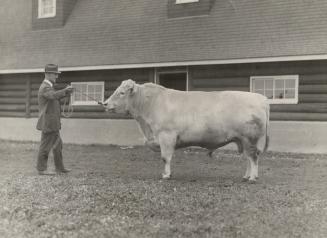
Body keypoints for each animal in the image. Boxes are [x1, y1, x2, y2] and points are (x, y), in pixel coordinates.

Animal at [104, 79, 270, 183]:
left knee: (253, 157)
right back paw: (246, 177)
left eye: (121, 93)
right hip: (242, 139)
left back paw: (252, 178)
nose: (104, 103)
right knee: (248, 158)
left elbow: (165, 157)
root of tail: (261, 98)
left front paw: (166, 175)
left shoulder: (166, 136)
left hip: (249, 138)